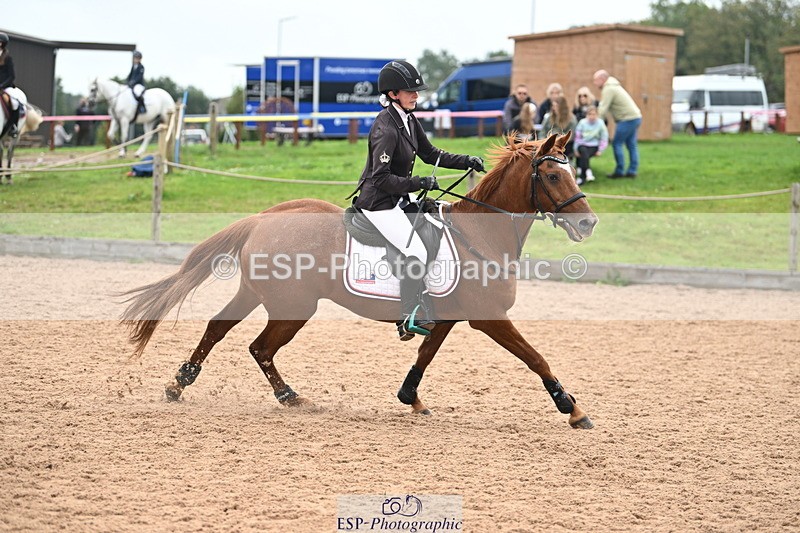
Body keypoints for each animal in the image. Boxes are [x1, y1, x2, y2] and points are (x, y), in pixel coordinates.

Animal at [120, 132, 600, 429]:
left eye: (572, 171)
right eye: (552, 175)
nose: (590, 223)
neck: (478, 234)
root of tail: (263, 218)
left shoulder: (447, 317)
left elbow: (424, 355)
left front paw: (411, 398)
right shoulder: (490, 318)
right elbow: (535, 358)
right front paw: (572, 409)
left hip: (255, 294)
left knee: (220, 329)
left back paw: (179, 383)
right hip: (294, 307)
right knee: (260, 348)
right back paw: (289, 396)